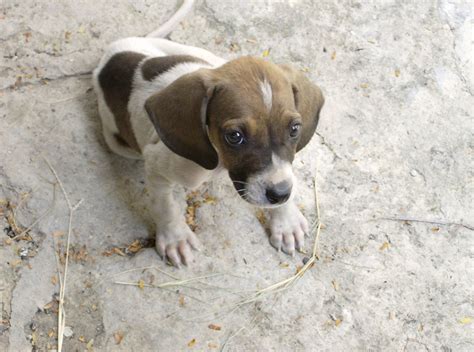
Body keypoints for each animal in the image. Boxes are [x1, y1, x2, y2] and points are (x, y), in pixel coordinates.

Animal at [92, 2, 322, 268]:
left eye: (294, 129)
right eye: (234, 136)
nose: (279, 194)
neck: (219, 161)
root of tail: (112, 52)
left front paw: (286, 221)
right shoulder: (156, 166)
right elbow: (165, 207)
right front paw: (175, 238)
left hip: (201, 56)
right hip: (118, 143)